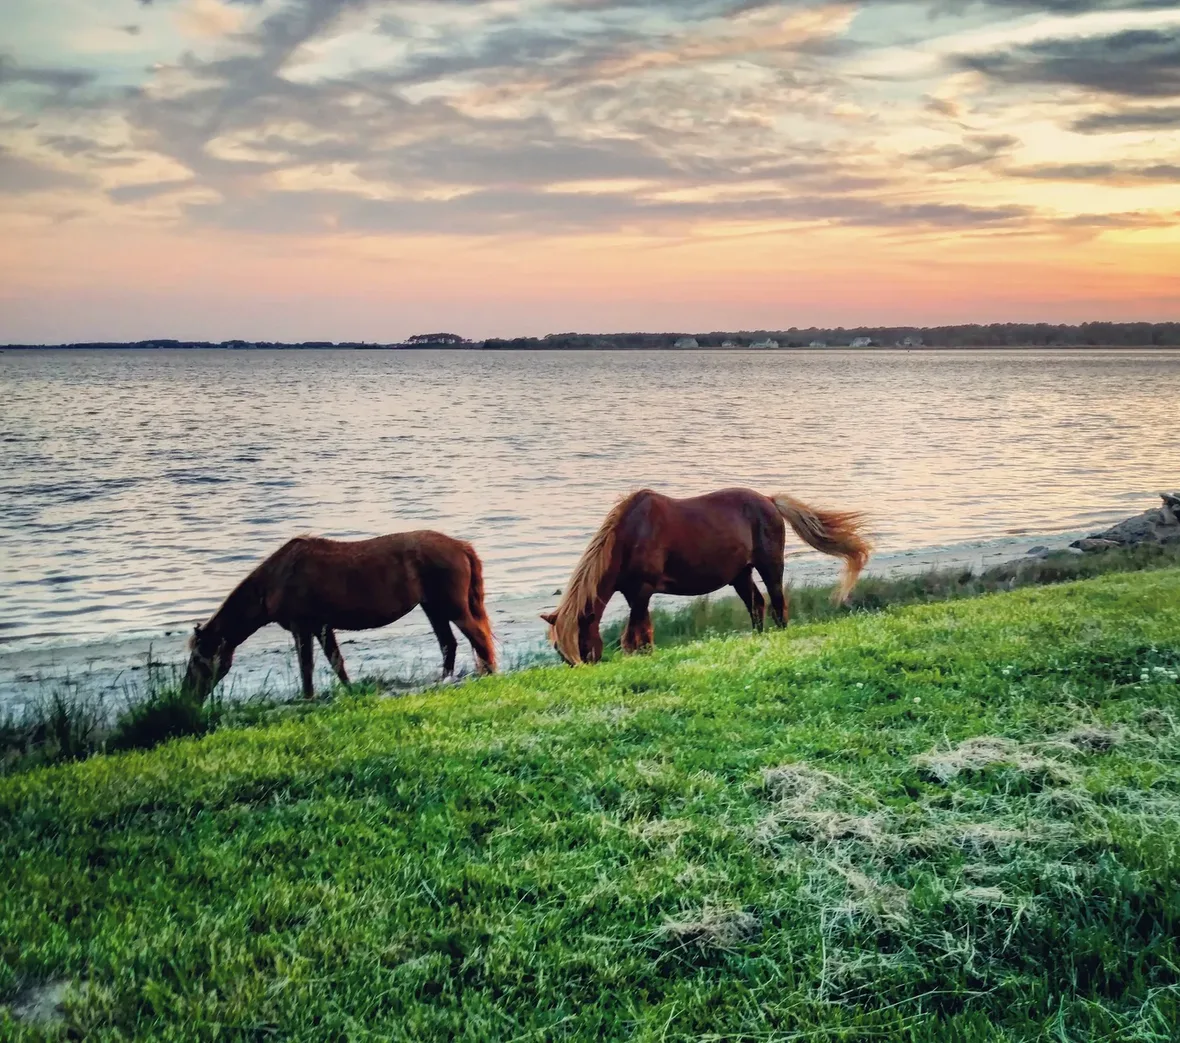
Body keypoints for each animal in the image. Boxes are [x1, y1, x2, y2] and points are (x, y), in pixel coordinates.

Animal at [183, 531, 496, 700]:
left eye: (199, 660)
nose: (187, 696)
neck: (275, 579)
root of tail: (460, 546)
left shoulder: (303, 627)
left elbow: (307, 667)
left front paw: (308, 697)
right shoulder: (321, 626)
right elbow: (336, 662)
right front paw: (349, 690)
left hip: (452, 607)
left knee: (478, 639)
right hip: (433, 607)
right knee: (448, 644)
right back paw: (444, 681)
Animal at [540, 487, 872, 665]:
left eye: (580, 644)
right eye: (558, 651)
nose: (584, 667)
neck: (629, 535)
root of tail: (768, 500)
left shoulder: (642, 592)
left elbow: (636, 635)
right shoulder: (634, 594)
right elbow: (640, 632)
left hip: (770, 566)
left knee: (778, 604)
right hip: (740, 574)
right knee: (757, 605)